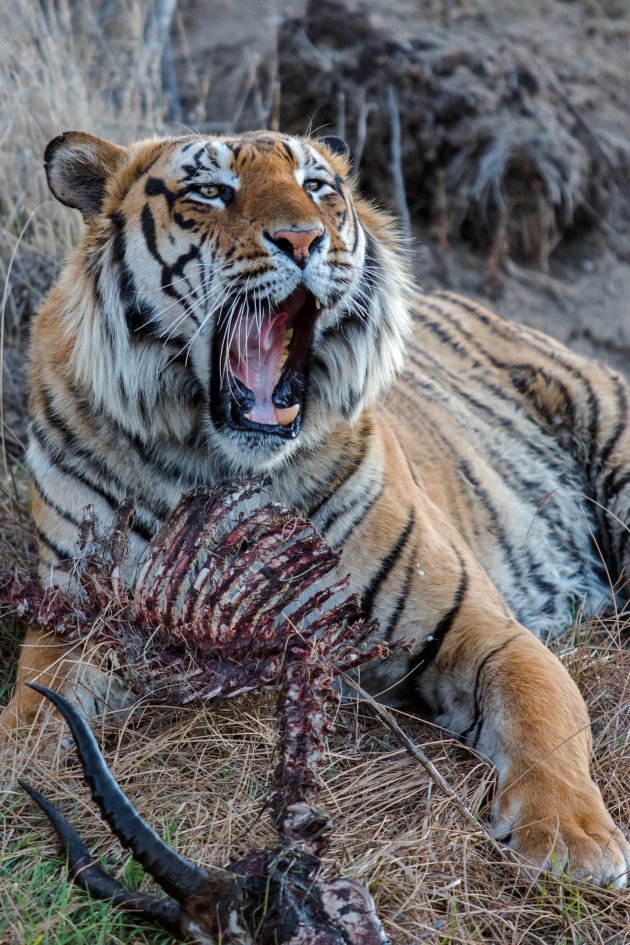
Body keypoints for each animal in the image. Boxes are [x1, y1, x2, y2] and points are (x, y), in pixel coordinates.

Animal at [1, 127, 630, 884]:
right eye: (209, 191)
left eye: (318, 187)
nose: (304, 240)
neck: (218, 463)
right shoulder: (77, 617)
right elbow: (34, 704)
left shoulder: (477, 623)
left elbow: (540, 706)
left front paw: (568, 837)